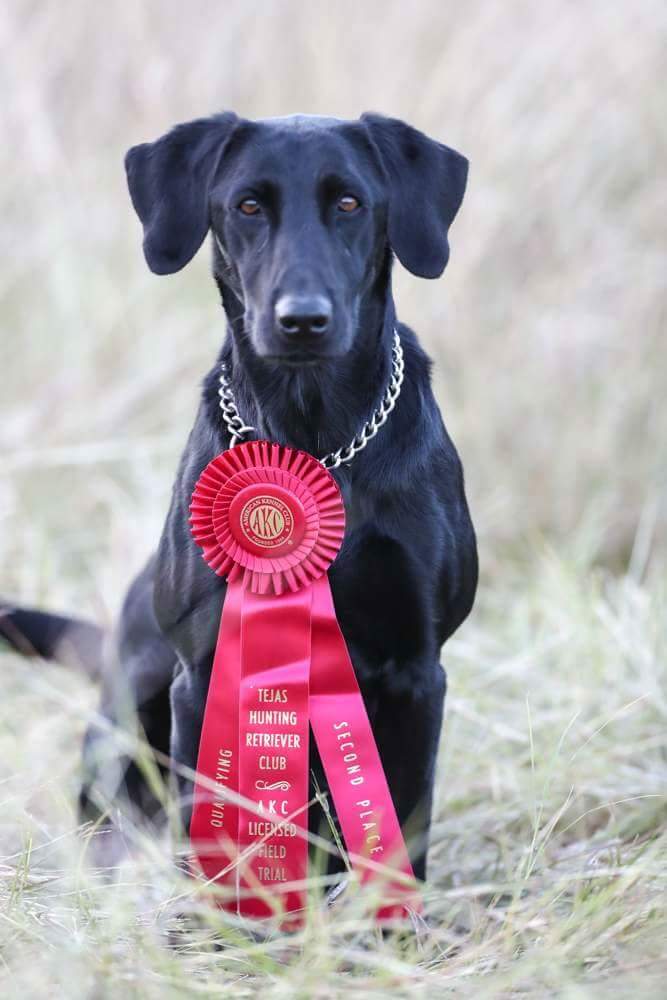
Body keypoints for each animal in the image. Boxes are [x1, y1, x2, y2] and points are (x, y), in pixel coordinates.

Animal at [2, 113, 478, 888]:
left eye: (350, 203)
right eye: (248, 206)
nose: (303, 320)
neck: (316, 437)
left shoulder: (416, 668)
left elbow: (401, 841)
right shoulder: (201, 673)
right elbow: (215, 832)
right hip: (130, 707)